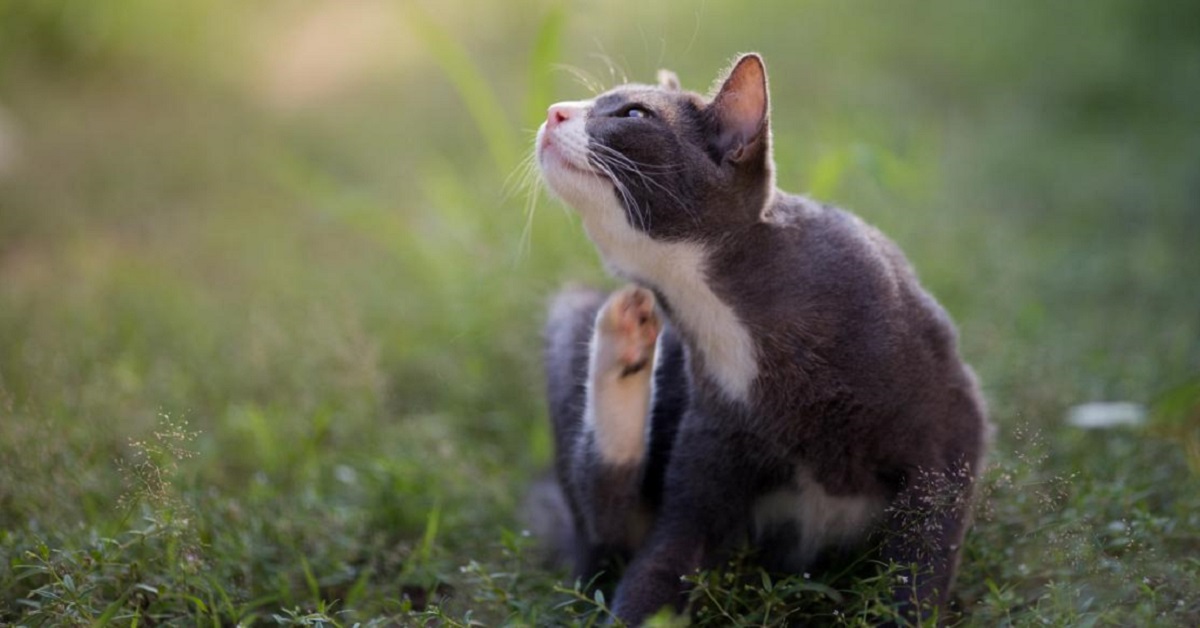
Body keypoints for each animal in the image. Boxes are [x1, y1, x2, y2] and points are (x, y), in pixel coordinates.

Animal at [537, 52, 993, 624]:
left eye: (634, 114)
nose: (553, 111)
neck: (717, 312)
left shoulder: (950, 422)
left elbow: (924, 555)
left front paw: (905, 608)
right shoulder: (711, 437)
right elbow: (658, 564)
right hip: (568, 317)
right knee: (604, 525)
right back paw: (624, 338)